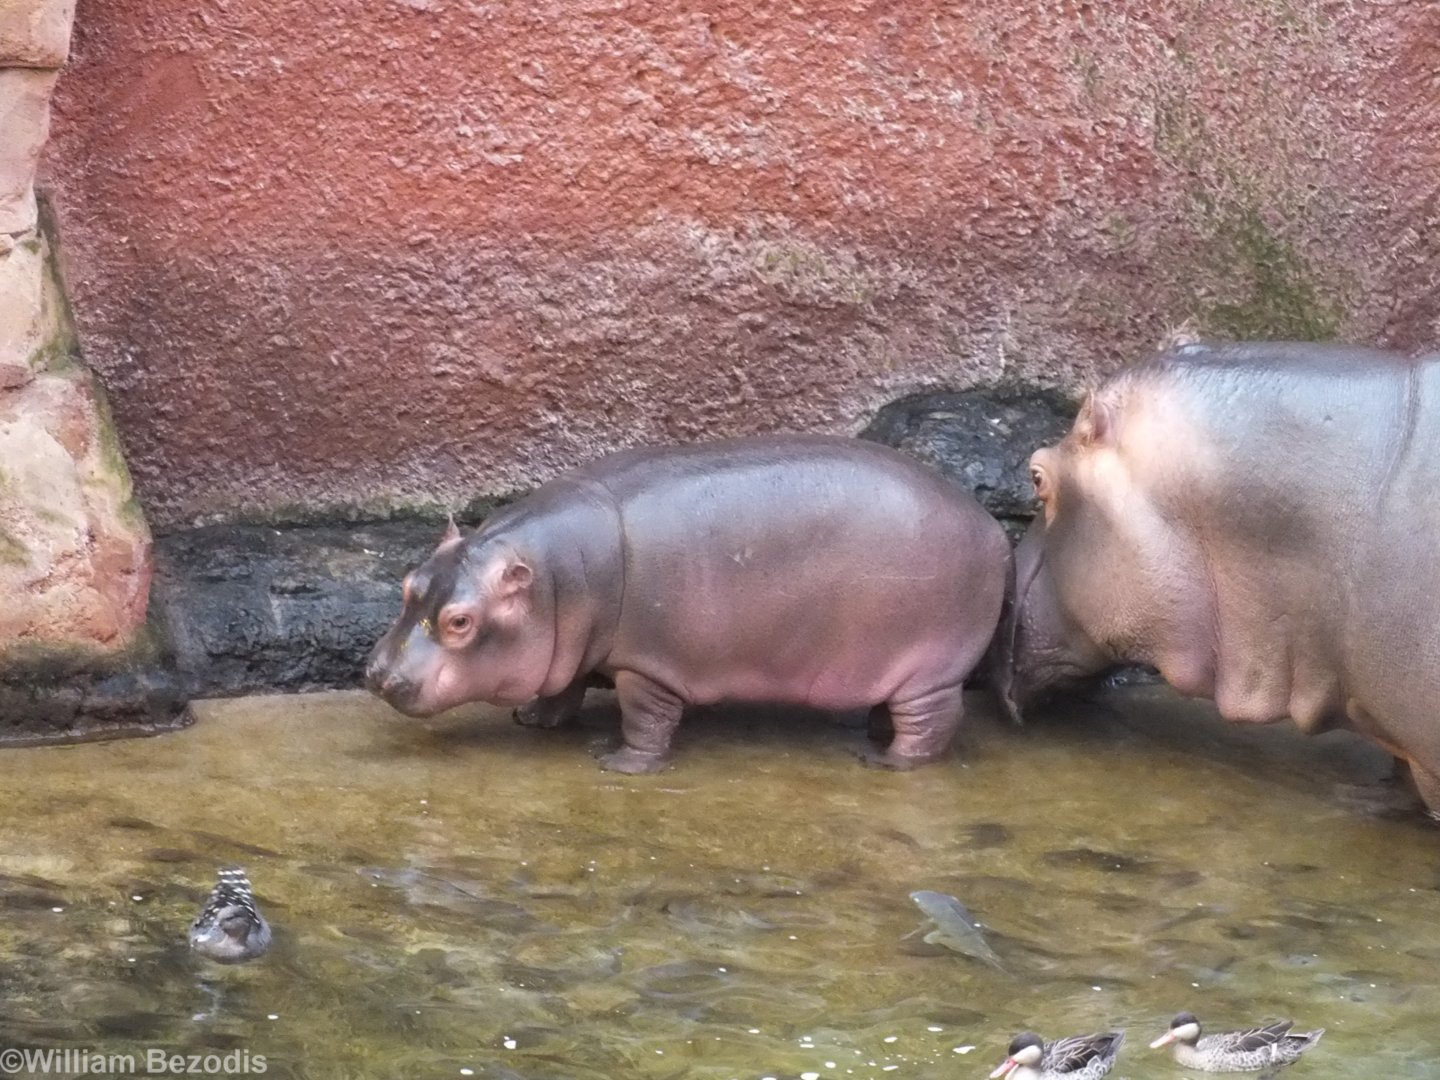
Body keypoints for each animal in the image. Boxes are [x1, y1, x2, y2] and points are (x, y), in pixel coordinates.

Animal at [366, 435, 1009, 773]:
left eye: (460, 621)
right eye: (409, 582)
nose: (376, 673)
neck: (555, 578)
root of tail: (992, 529)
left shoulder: (647, 664)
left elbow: (646, 719)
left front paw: (619, 763)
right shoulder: (569, 647)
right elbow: (562, 687)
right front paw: (534, 719)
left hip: (930, 669)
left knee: (933, 721)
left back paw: (889, 762)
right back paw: (875, 738)